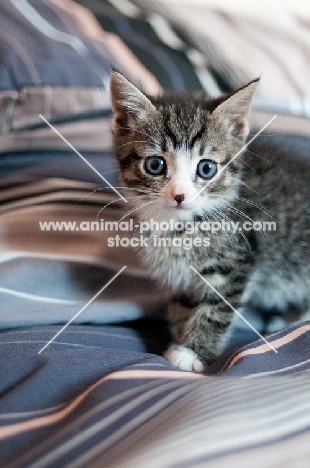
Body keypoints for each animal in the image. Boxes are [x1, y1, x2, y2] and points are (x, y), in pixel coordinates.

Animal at [109, 71, 310, 372]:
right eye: (155, 165)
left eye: (206, 168)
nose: (180, 195)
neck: (182, 225)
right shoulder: (177, 273)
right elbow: (183, 305)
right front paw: (180, 339)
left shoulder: (235, 261)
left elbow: (215, 309)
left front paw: (193, 352)